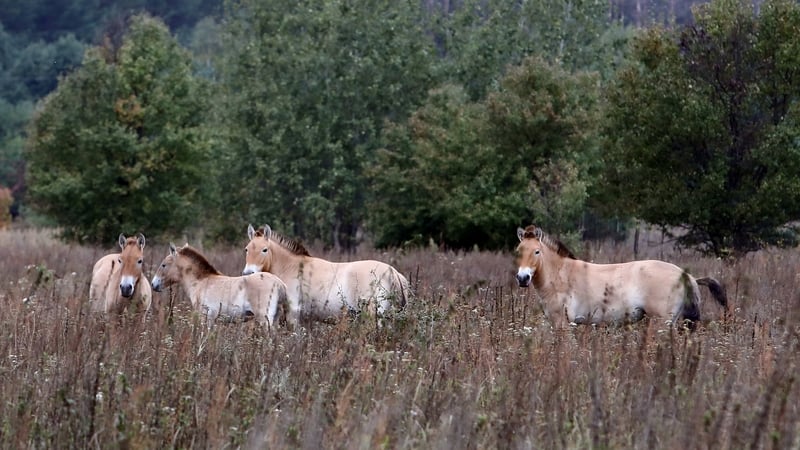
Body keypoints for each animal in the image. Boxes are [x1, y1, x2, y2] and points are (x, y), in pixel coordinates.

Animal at [151, 243, 292, 329]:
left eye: (164, 265)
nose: (153, 284)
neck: (201, 281)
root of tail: (280, 284)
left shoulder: (206, 318)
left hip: (265, 320)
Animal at [242, 224, 411, 323]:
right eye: (246, 249)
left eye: (264, 250)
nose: (248, 272)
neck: (291, 267)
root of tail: (393, 273)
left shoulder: (294, 313)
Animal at [514, 225, 728, 329]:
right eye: (519, 251)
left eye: (537, 252)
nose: (523, 278)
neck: (560, 275)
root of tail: (687, 276)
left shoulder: (562, 324)